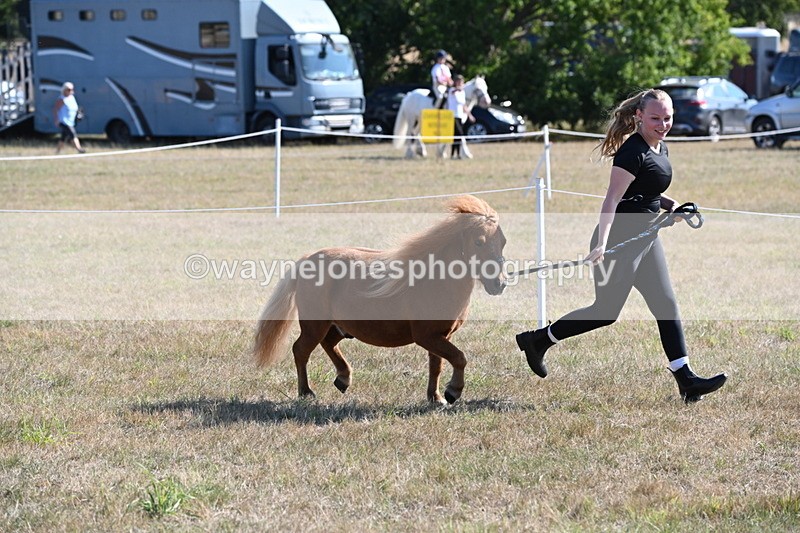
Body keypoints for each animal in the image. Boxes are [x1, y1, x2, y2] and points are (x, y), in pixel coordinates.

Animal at [253, 195, 507, 405]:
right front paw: (453, 391)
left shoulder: (440, 336)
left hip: (338, 326)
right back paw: (306, 392)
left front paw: (436, 398)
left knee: (329, 343)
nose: (500, 283)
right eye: (479, 242)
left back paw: (343, 379)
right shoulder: (427, 336)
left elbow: (438, 365)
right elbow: (459, 358)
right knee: (301, 350)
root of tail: (305, 261)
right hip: (314, 325)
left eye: (503, 241)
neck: (435, 280)